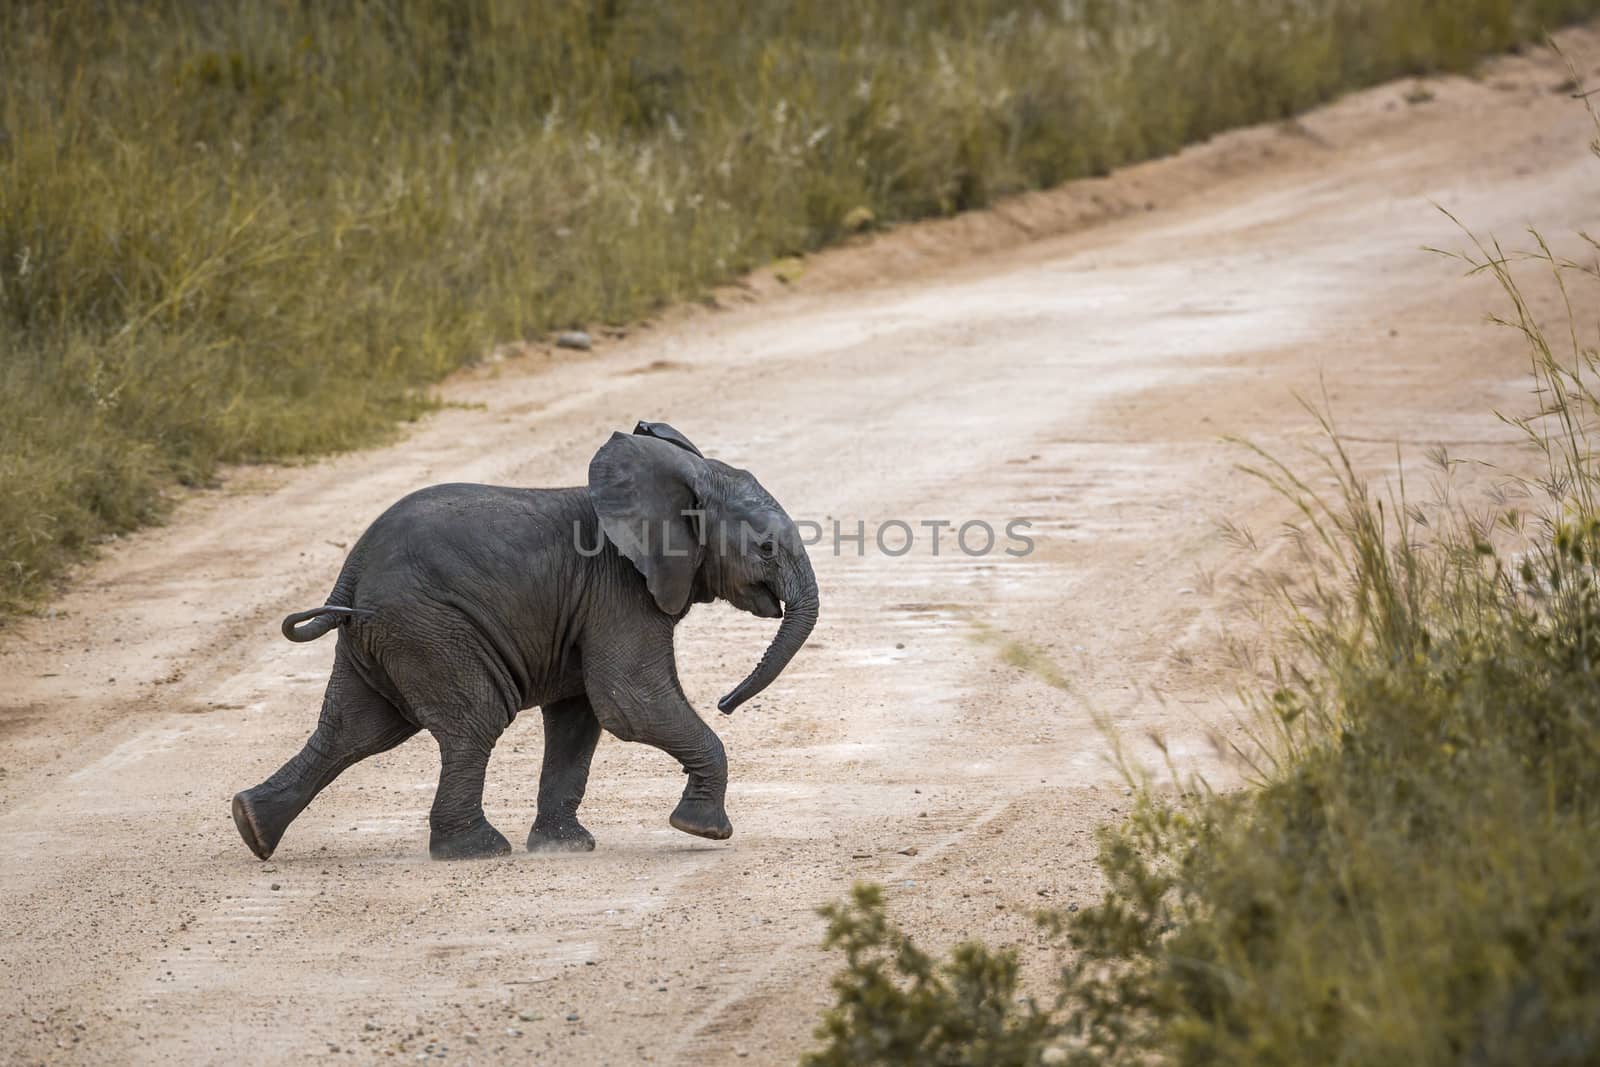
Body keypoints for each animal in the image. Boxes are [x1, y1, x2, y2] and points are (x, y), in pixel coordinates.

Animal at [232, 422, 819, 863]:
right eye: (766, 548)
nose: (725, 702)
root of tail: (350, 572)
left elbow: (581, 716)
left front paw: (565, 848)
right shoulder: (619, 590)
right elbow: (630, 703)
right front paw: (703, 831)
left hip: (388, 633)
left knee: (357, 730)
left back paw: (252, 827)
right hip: (430, 626)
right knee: (472, 720)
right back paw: (476, 850)